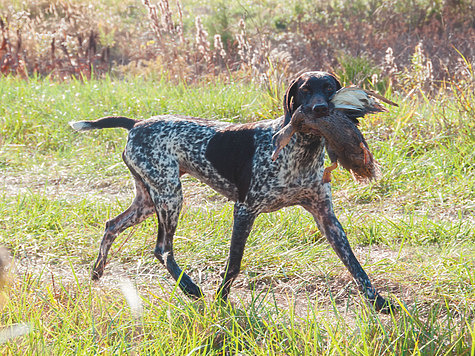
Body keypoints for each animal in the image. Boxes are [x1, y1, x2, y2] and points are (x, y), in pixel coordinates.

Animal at [69, 71, 392, 312]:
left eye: (329, 88)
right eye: (304, 90)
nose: (320, 110)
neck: (302, 150)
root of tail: (136, 123)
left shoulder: (327, 218)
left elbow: (355, 265)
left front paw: (378, 302)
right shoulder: (244, 211)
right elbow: (234, 264)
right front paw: (221, 301)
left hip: (149, 200)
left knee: (112, 225)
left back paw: (97, 273)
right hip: (169, 196)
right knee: (162, 248)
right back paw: (189, 287)